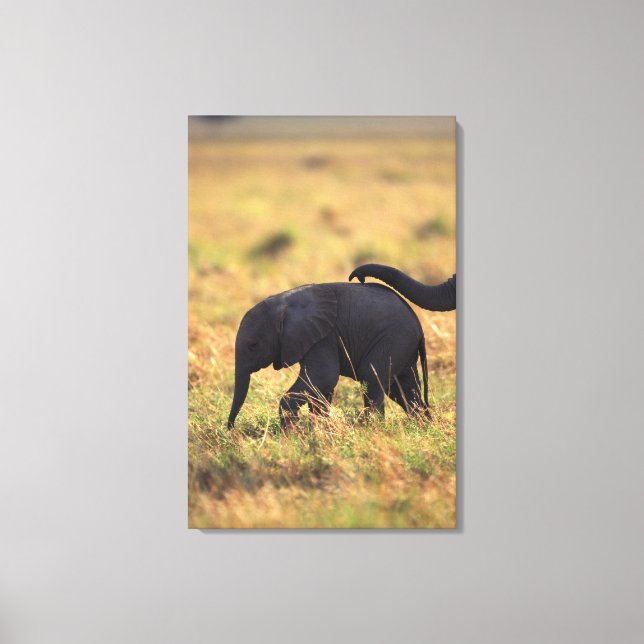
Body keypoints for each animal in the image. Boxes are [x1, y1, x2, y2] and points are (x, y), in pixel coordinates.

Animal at [227, 282, 429, 429]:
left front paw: (292, 434)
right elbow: (320, 387)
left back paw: (373, 428)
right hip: (403, 346)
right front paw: (318, 431)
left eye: (253, 346)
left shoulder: (324, 337)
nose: (231, 429)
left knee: (371, 379)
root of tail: (418, 325)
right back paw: (423, 425)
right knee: (403, 388)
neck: (284, 306)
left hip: (395, 338)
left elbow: (323, 378)